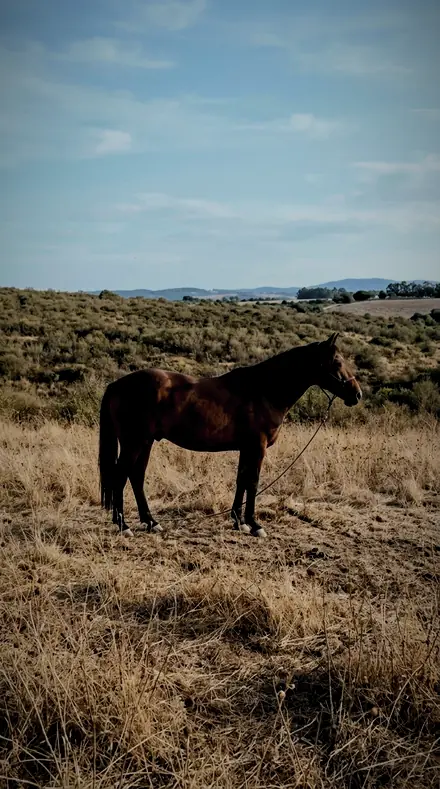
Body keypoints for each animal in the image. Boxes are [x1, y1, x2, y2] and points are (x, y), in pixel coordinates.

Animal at [99, 332, 362, 538]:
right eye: (337, 361)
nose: (357, 394)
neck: (264, 390)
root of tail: (117, 385)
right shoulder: (257, 446)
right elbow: (253, 482)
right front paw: (255, 525)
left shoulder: (247, 447)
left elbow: (241, 480)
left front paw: (238, 521)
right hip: (134, 443)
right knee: (120, 477)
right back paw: (124, 525)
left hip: (145, 442)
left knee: (136, 477)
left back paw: (151, 522)